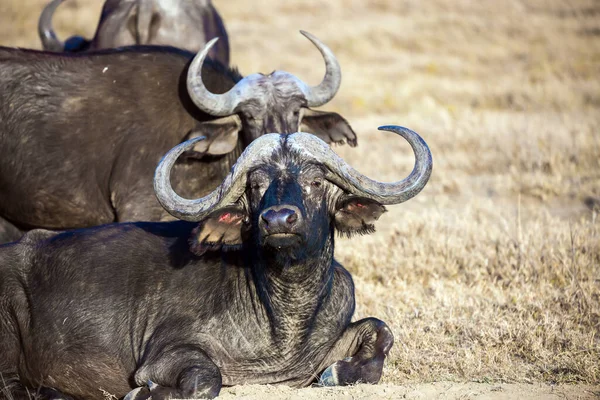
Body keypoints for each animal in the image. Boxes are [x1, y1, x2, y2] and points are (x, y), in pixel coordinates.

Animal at [0, 126, 432, 400]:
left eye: (315, 182)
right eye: (256, 185)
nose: (278, 220)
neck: (283, 317)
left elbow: (381, 333)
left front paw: (339, 372)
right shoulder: (167, 353)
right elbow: (207, 379)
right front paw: (143, 394)